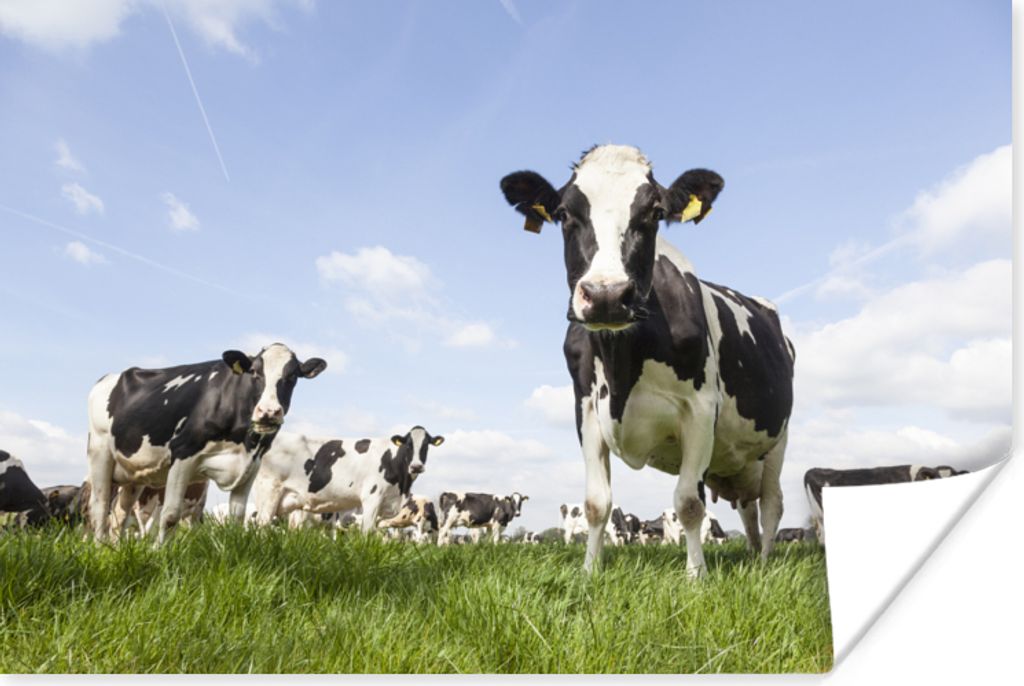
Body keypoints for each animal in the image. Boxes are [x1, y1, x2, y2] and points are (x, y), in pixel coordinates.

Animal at [86, 343, 326, 544]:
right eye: (254, 372)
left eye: (292, 376)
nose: (268, 412)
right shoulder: (183, 452)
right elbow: (170, 515)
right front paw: (158, 553)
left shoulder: (251, 464)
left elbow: (237, 517)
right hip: (100, 452)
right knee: (99, 507)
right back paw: (100, 548)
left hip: (134, 472)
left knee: (120, 514)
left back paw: (114, 548)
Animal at [252, 427, 444, 533]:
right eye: (409, 445)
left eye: (426, 445)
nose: (417, 466)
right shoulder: (372, 498)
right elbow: (368, 532)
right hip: (269, 491)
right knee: (262, 525)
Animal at [501, 145, 795, 577]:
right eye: (565, 214)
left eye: (655, 212)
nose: (606, 295)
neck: (623, 363)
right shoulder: (587, 410)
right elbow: (596, 503)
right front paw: (589, 572)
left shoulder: (701, 409)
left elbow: (689, 503)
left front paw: (696, 575)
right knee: (747, 508)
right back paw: (752, 554)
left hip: (777, 439)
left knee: (772, 503)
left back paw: (764, 563)